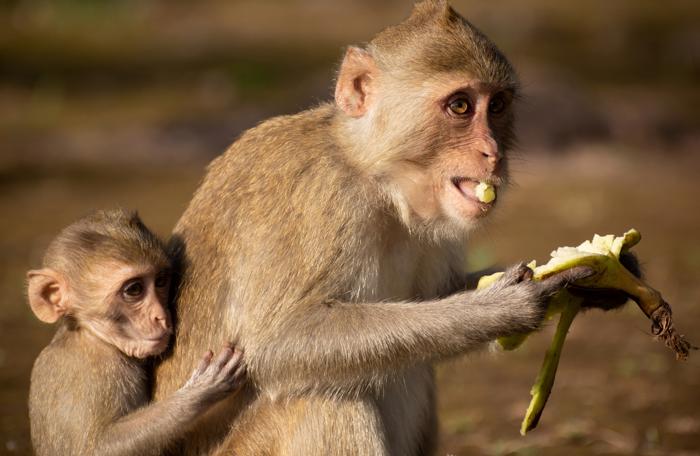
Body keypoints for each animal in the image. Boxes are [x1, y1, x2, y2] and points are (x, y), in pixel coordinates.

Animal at [26, 210, 246, 456]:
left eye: (160, 281)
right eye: (134, 289)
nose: (161, 316)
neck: (91, 336)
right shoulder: (97, 375)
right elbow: (97, 448)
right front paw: (198, 394)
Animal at [157, 1, 592, 454]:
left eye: (498, 106)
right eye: (460, 106)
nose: (493, 153)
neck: (374, 179)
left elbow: (437, 292)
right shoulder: (321, 198)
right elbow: (278, 342)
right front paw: (500, 309)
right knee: (326, 399)